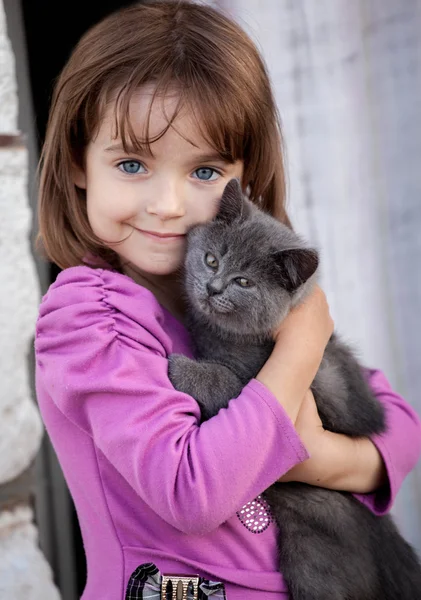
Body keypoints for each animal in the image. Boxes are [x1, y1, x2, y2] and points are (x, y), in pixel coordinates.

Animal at [167, 178, 420, 600]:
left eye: (244, 282)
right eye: (212, 260)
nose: (213, 288)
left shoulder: (273, 384)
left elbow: (225, 380)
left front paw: (180, 367)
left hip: (314, 558)